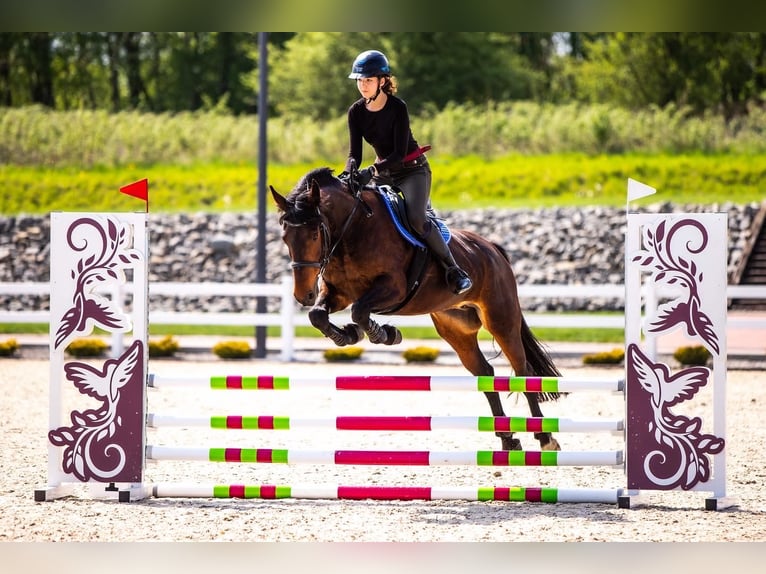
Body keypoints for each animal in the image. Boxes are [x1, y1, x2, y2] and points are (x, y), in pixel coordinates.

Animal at [270, 168, 564, 454]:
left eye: (314, 234)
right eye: (285, 237)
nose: (303, 295)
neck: (353, 229)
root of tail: (493, 249)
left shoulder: (393, 289)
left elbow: (360, 311)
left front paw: (384, 334)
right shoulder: (337, 293)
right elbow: (318, 315)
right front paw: (348, 336)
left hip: (501, 320)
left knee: (523, 370)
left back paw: (544, 437)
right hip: (456, 330)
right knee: (485, 374)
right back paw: (507, 439)